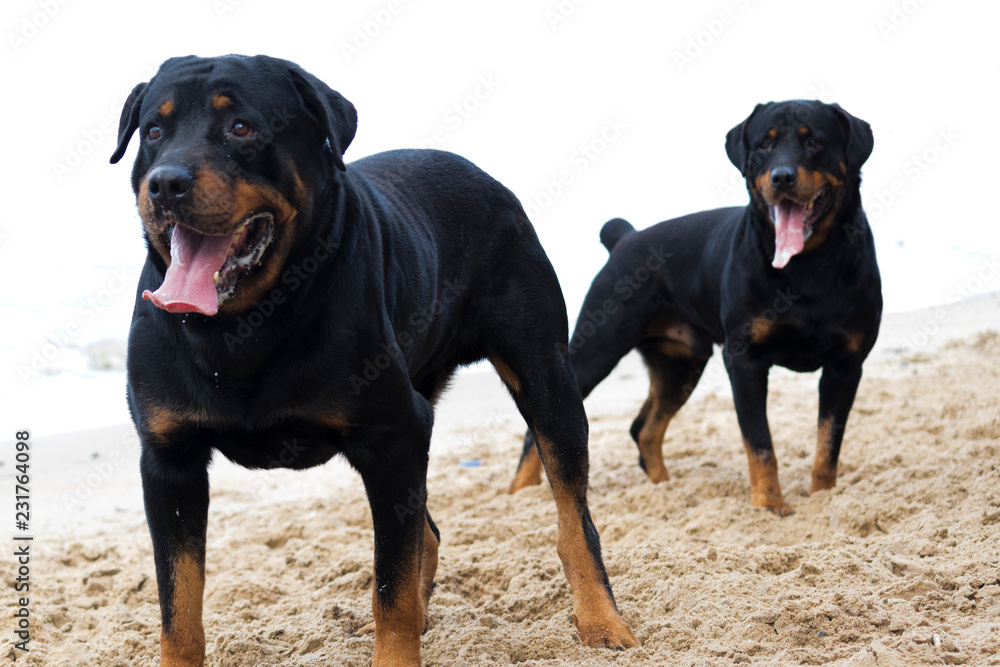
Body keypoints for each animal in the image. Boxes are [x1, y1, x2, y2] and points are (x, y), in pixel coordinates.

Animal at [109, 56, 632, 667]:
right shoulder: (170, 459)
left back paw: (601, 619)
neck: (243, 328)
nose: (165, 181)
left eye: (241, 127)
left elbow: (391, 589)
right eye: (154, 131)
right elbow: (179, 606)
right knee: (426, 532)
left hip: (546, 377)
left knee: (573, 517)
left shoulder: (394, 435)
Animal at [512, 100, 880, 516]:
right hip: (596, 348)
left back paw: (663, 488)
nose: (782, 177)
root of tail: (627, 238)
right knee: (539, 429)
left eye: (815, 141)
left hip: (681, 363)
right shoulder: (745, 359)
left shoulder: (846, 365)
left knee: (644, 428)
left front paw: (824, 498)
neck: (808, 266)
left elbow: (828, 444)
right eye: (764, 146)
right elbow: (761, 443)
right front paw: (770, 505)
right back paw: (519, 494)